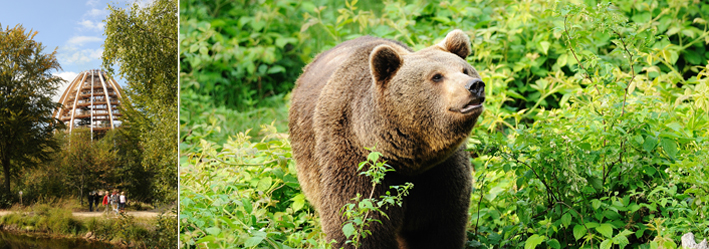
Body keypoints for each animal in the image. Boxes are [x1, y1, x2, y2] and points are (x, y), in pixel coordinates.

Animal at [290, 29, 484, 249]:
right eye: (436, 76)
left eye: (465, 70)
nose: (474, 86)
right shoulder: (357, 163)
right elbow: (359, 224)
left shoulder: (438, 173)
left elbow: (436, 229)